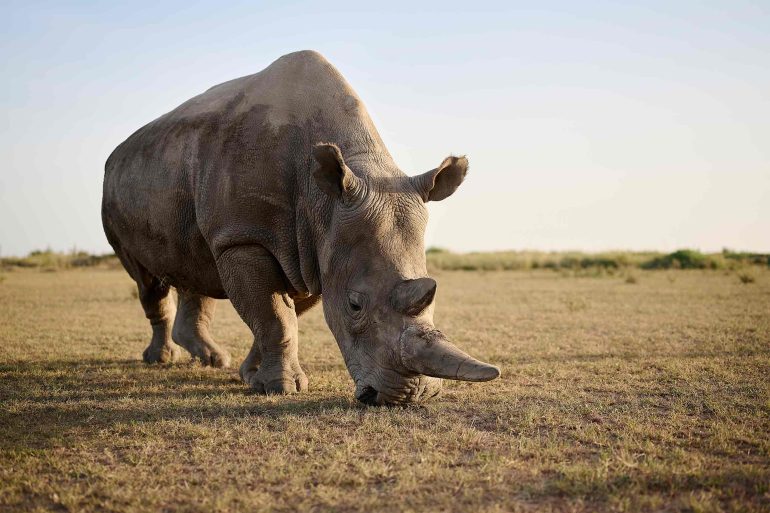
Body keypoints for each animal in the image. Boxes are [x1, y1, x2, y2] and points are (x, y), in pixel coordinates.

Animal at [102, 50, 500, 405]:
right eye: (355, 305)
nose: (407, 397)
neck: (322, 200)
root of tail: (116, 153)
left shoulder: (313, 250)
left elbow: (277, 313)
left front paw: (253, 376)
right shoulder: (247, 239)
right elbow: (276, 316)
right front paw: (281, 388)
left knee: (196, 265)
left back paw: (213, 359)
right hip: (118, 191)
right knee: (148, 280)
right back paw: (161, 359)